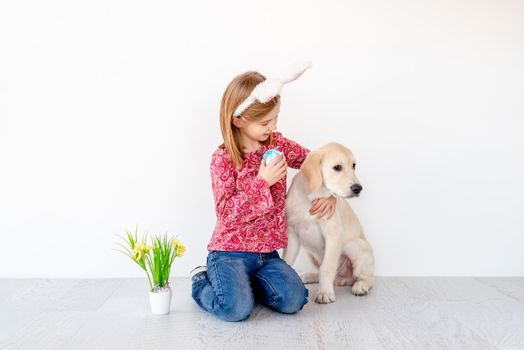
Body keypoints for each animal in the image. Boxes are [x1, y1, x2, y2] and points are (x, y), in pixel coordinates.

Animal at [284, 142, 374, 304]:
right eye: (337, 167)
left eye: (354, 166)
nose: (358, 188)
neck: (313, 196)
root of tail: (343, 278)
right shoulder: (292, 233)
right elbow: (287, 260)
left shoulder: (333, 234)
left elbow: (327, 267)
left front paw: (325, 293)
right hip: (310, 253)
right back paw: (310, 276)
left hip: (356, 247)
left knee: (365, 277)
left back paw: (361, 286)